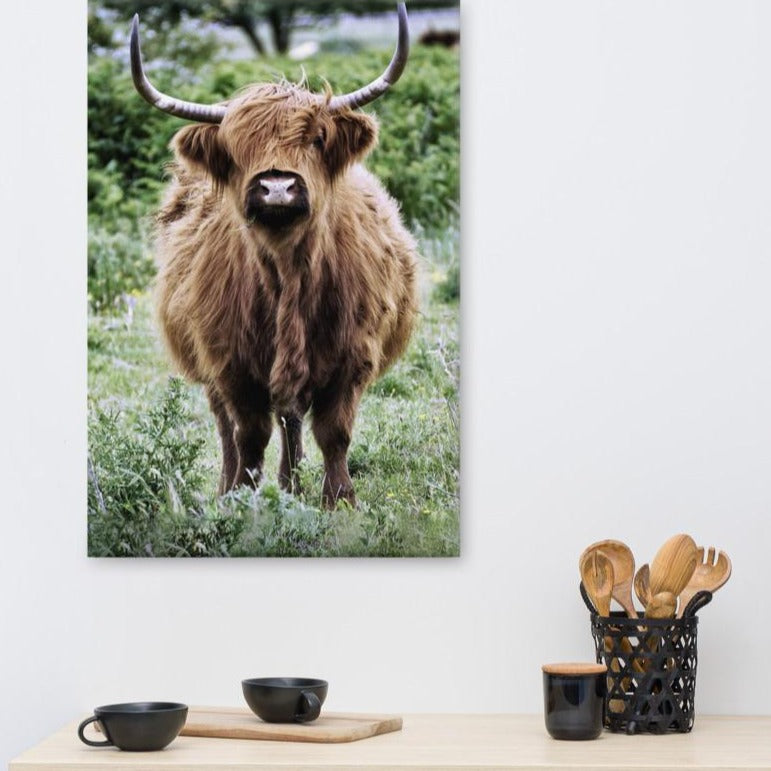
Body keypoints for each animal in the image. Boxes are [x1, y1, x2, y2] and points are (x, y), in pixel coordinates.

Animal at [130, 4, 418, 507]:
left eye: (317, 139)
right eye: (236, 147)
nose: (278, 187)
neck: (288, 273)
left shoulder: (353, 357)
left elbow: (333, 432)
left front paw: (338, 500)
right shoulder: (230, 363)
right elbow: (248, 434)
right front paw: (243, 499)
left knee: (291, 417)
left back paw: (291, 483)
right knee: (232, 427)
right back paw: (238, 486)